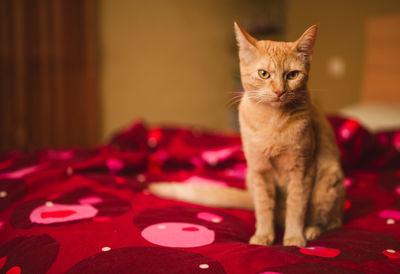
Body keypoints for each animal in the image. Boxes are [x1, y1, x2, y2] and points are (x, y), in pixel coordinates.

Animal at [148, 22, 346, 247]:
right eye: (264, 74)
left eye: (292, 75)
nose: (279, 91)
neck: (272, 121)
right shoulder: (259, 171)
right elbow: (264, 208)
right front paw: (263, 236)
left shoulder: (302, 170)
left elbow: (296, 208)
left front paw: (294, 237)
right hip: (251, 177)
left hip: (328, 185)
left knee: (333, 221)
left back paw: (311, 230)